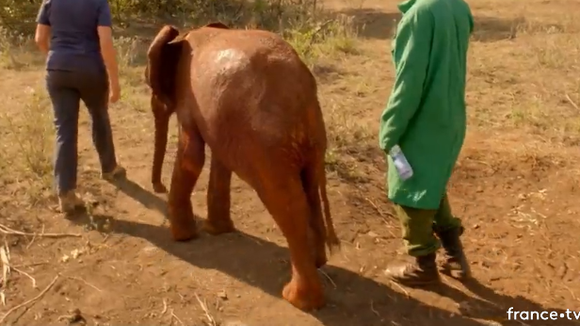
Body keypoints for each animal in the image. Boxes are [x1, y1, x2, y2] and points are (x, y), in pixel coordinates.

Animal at [145, 22, 342, 310]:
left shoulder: (189, 98)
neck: (184, 35)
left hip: (267, 144)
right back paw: (318, 264)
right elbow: (220, 159)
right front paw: (216, 231)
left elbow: (192, 157)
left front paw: (183, 238)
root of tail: (302, 92)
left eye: (149, 82)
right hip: (311, 139)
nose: (157, 187)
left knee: (285, 200)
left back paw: (297, 299)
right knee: (310, 189)